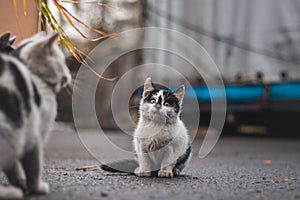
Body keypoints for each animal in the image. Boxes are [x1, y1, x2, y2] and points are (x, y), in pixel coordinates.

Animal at [0, 32, 71, 198]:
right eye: (63, 62)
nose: (69, 75)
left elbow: (14, 167)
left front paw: (20, 183)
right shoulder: (34, 136)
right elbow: (33, 168)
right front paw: (35, 188)